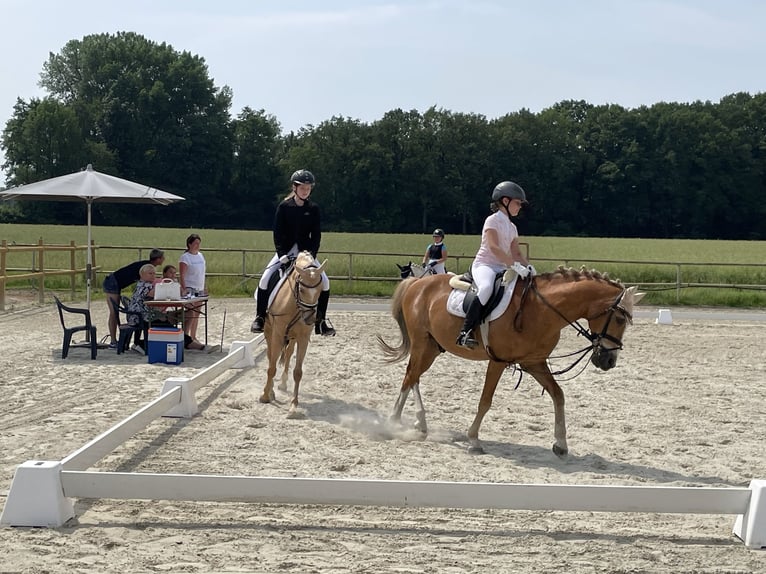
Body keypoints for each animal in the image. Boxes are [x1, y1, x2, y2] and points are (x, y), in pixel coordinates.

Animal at [260, 250, 328, 416]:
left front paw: (293, 405)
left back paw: (283, 384)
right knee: (271, 356)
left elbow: (297, 372)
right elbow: (272, 367)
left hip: (292, 337)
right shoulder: (277, 335)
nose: (310, 319)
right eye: (302, 289)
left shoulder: (303, 338)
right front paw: (265, 395)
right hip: (269, 331)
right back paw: (271, 391)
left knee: (288, 354)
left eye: (320, 290)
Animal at [378, 268, 648, 460]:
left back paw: (419, 423)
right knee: (410, 376)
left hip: (432, 347)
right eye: (620, 318)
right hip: (423, 345)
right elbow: (485, 401)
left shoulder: (534, 363)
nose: (608, 361)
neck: (542, 310)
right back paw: (393, 422)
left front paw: (561, 444)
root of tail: (417, 283)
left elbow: (558, 395)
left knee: (414, 376)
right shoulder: (498, 362)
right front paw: (474, 440)